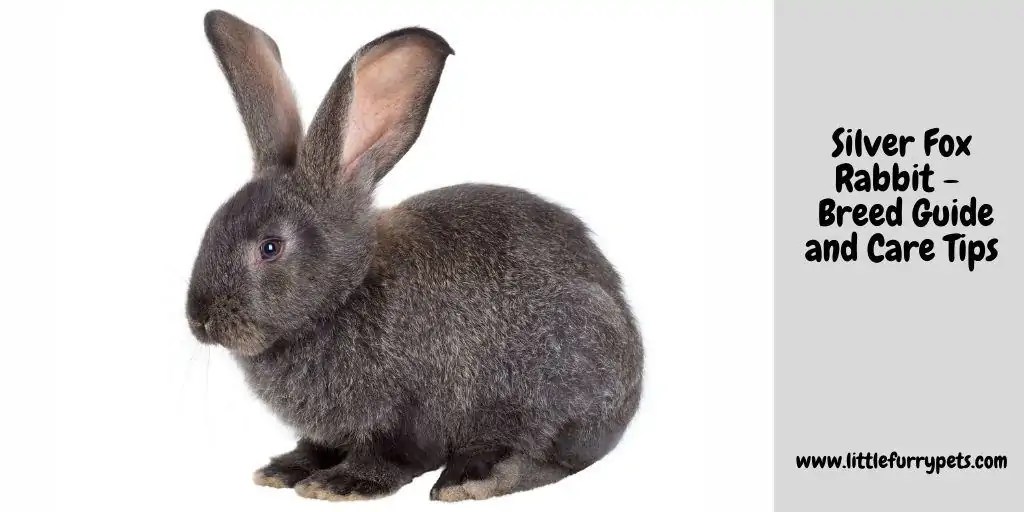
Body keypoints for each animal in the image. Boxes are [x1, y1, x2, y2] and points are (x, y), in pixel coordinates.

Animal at [186, 9, 644, 503]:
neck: (347, 292)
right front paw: (283, 470)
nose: (199, 319)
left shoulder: (409, 414)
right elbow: (317, 446)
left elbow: (391, 456)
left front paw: (339, 484)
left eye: (270, 247)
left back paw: (473, 480)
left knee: (555, 459)